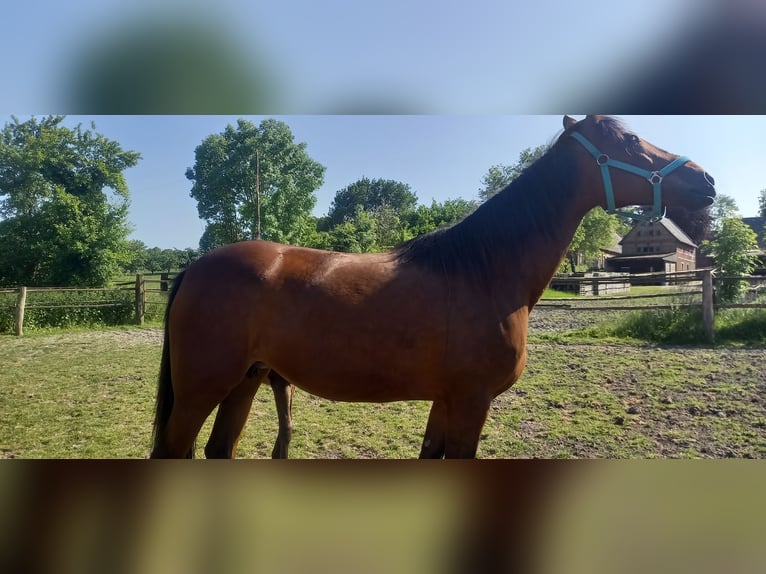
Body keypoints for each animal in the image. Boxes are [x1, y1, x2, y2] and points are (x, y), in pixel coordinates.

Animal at [152, 115, 720, 462]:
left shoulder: (445, 401)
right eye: (629, 142)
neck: (484, 271)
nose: (706, 179)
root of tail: (196, 268)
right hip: (202, 389)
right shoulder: (471, 400)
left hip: (245, 382)